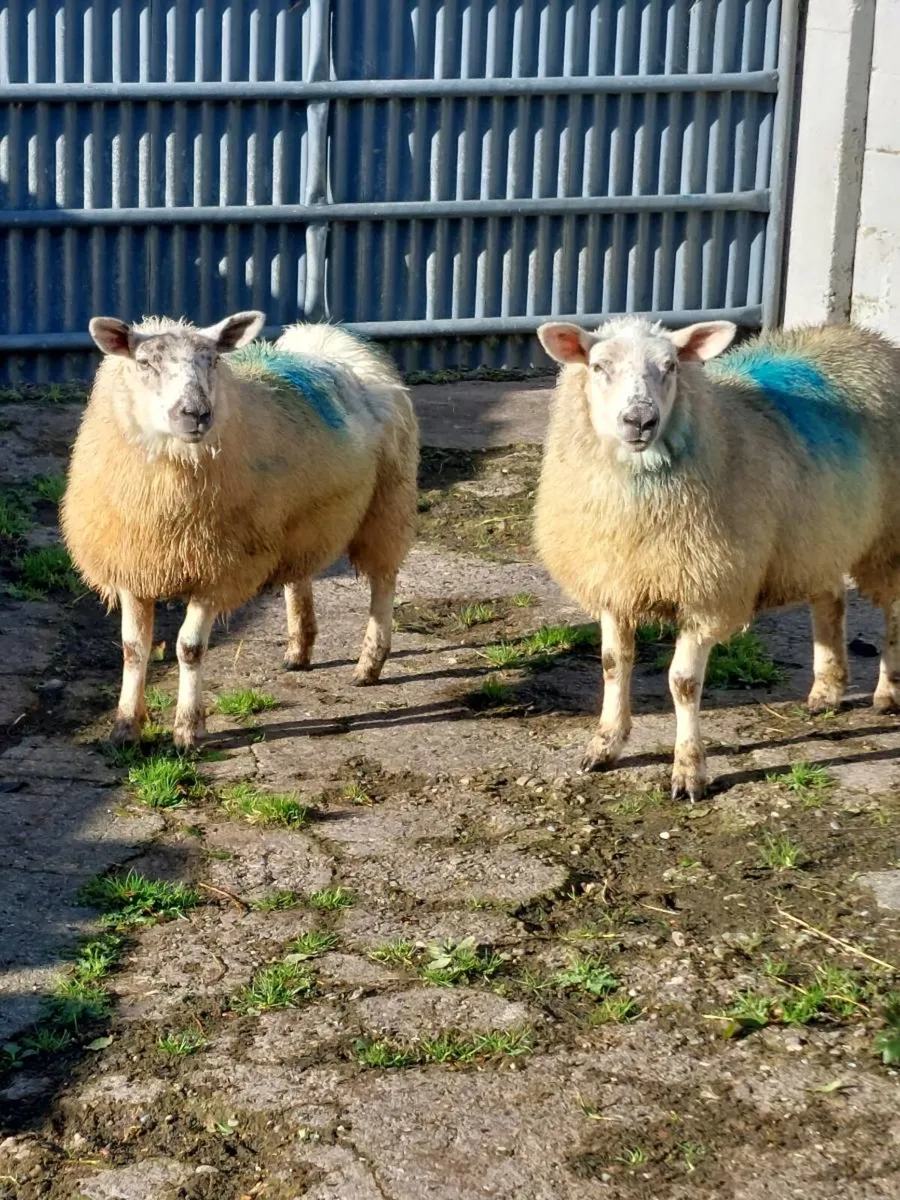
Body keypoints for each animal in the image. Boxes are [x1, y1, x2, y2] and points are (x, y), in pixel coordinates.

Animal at [61, 312, 419, 749]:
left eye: (214, 360)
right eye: (145, 363)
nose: (196, 413)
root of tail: (332, 337)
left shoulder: (217, 572)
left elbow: (189, 648)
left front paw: (188, 729)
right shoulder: (132, 566)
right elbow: (132, 649)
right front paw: (125, 726)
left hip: (388, 504)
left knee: (383, 581)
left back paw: (369, 664)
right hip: (298, 522)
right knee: (299, 576)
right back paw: (299, 651)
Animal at [534, 316, 900, 800]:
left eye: (670, 365)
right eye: (598, 366)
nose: (640, 420)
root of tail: (865, 336)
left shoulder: (708, 591)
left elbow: (683, 683)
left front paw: (689, 770)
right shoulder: (614, 581)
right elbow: (614, 664)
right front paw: (605, 744)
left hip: (888, 535)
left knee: (893, 610)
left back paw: (888, 692)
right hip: (818, 533)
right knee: (831, 598)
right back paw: (827, 688)